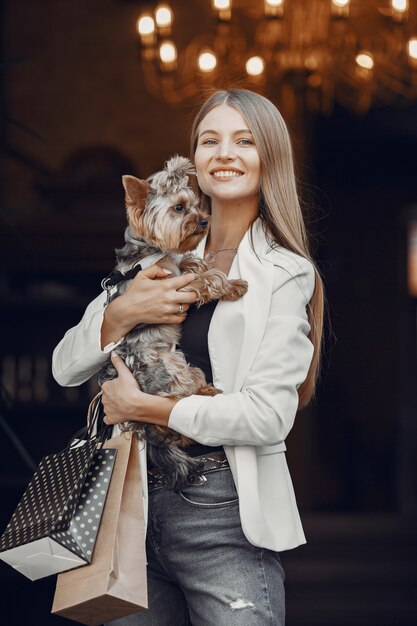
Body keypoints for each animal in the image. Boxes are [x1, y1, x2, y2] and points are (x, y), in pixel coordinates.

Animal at [98, 156, 247, 488]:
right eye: (179, 208)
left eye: (194, 205)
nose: (204, 222)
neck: (152, 250)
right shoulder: (173, 286)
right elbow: (206, 279)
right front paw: (233, 285)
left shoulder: (179, 267)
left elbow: (193, 262)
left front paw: (205, 261)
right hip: (171, 368)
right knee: (172, 412)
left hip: (184, 364)